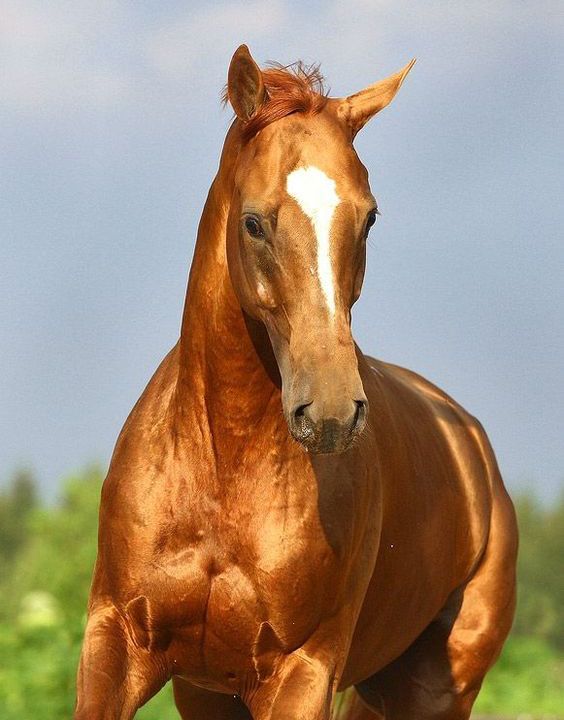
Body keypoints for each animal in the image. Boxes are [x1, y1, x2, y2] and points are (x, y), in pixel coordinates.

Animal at [75, 45, 518, 720]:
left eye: (368, 218)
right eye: (254, 222)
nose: (331, 412)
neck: (221, 469)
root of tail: (472, 445)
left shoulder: (304, 671)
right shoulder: (120, 643)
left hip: (435, 690)